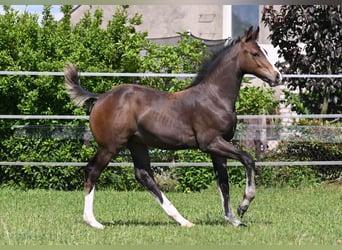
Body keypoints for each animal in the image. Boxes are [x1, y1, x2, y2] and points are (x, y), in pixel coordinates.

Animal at [65, 26, 282, 229]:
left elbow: (224, 183)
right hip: (110, 146)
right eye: (255, 53)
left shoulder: (218, 147)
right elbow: (248, 159)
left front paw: (234, 220)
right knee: (92, 171)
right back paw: (93, 221)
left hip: (137, 144)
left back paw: (182, 220)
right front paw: (243, 206)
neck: (215, 97)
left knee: (144, 176)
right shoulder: (211, 143)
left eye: (265, 51)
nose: (277, 76)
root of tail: (100, 97)